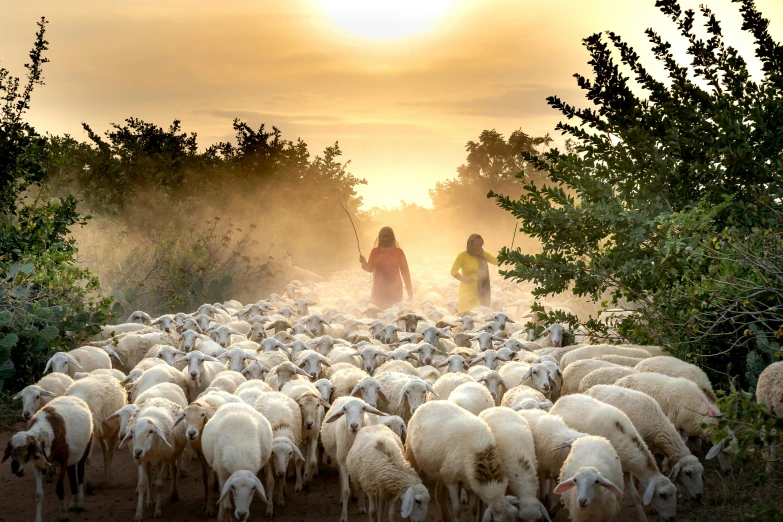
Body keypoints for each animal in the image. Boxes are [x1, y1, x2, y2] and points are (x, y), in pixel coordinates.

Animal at [552, 392, 680, 516]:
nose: (671, 518)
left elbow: (636, 497)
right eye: (662, 495)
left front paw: (642, 517)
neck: (624, 437)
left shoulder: (626, 469)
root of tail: (562, 398)